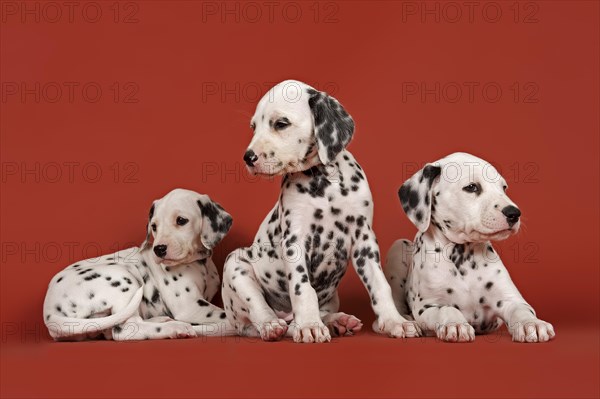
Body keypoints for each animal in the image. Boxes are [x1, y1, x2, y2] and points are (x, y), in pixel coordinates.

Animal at [41, 189, 234, 342]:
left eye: (181, 220)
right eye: (154, 226)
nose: (159, 249)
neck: (199, 263)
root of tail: (49, 312)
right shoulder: (190, 305)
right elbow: (226, 315)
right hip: (122, 275)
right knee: (124, 330)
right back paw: (174, 328)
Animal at [218, 80, 420, 344]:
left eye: (280, 123)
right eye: (254, 127)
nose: (248, 157)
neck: (325, 183)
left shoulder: (364, 239)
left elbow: (379, 285)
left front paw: (395, 321)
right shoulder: (295, 240)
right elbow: (302, 289)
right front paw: (309, 325)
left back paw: (337, 322)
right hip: (235, 264)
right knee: (261, 316)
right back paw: (275, 325)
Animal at [386, 153, 556, 344]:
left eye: (503, 187)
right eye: (472, 187)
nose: (514, 213)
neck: (462, 256)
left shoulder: (511, 299)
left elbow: (522, 310)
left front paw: (531, 324)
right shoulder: (427, 306)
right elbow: (447, 309)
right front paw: (455, 324)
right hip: (398, 246)